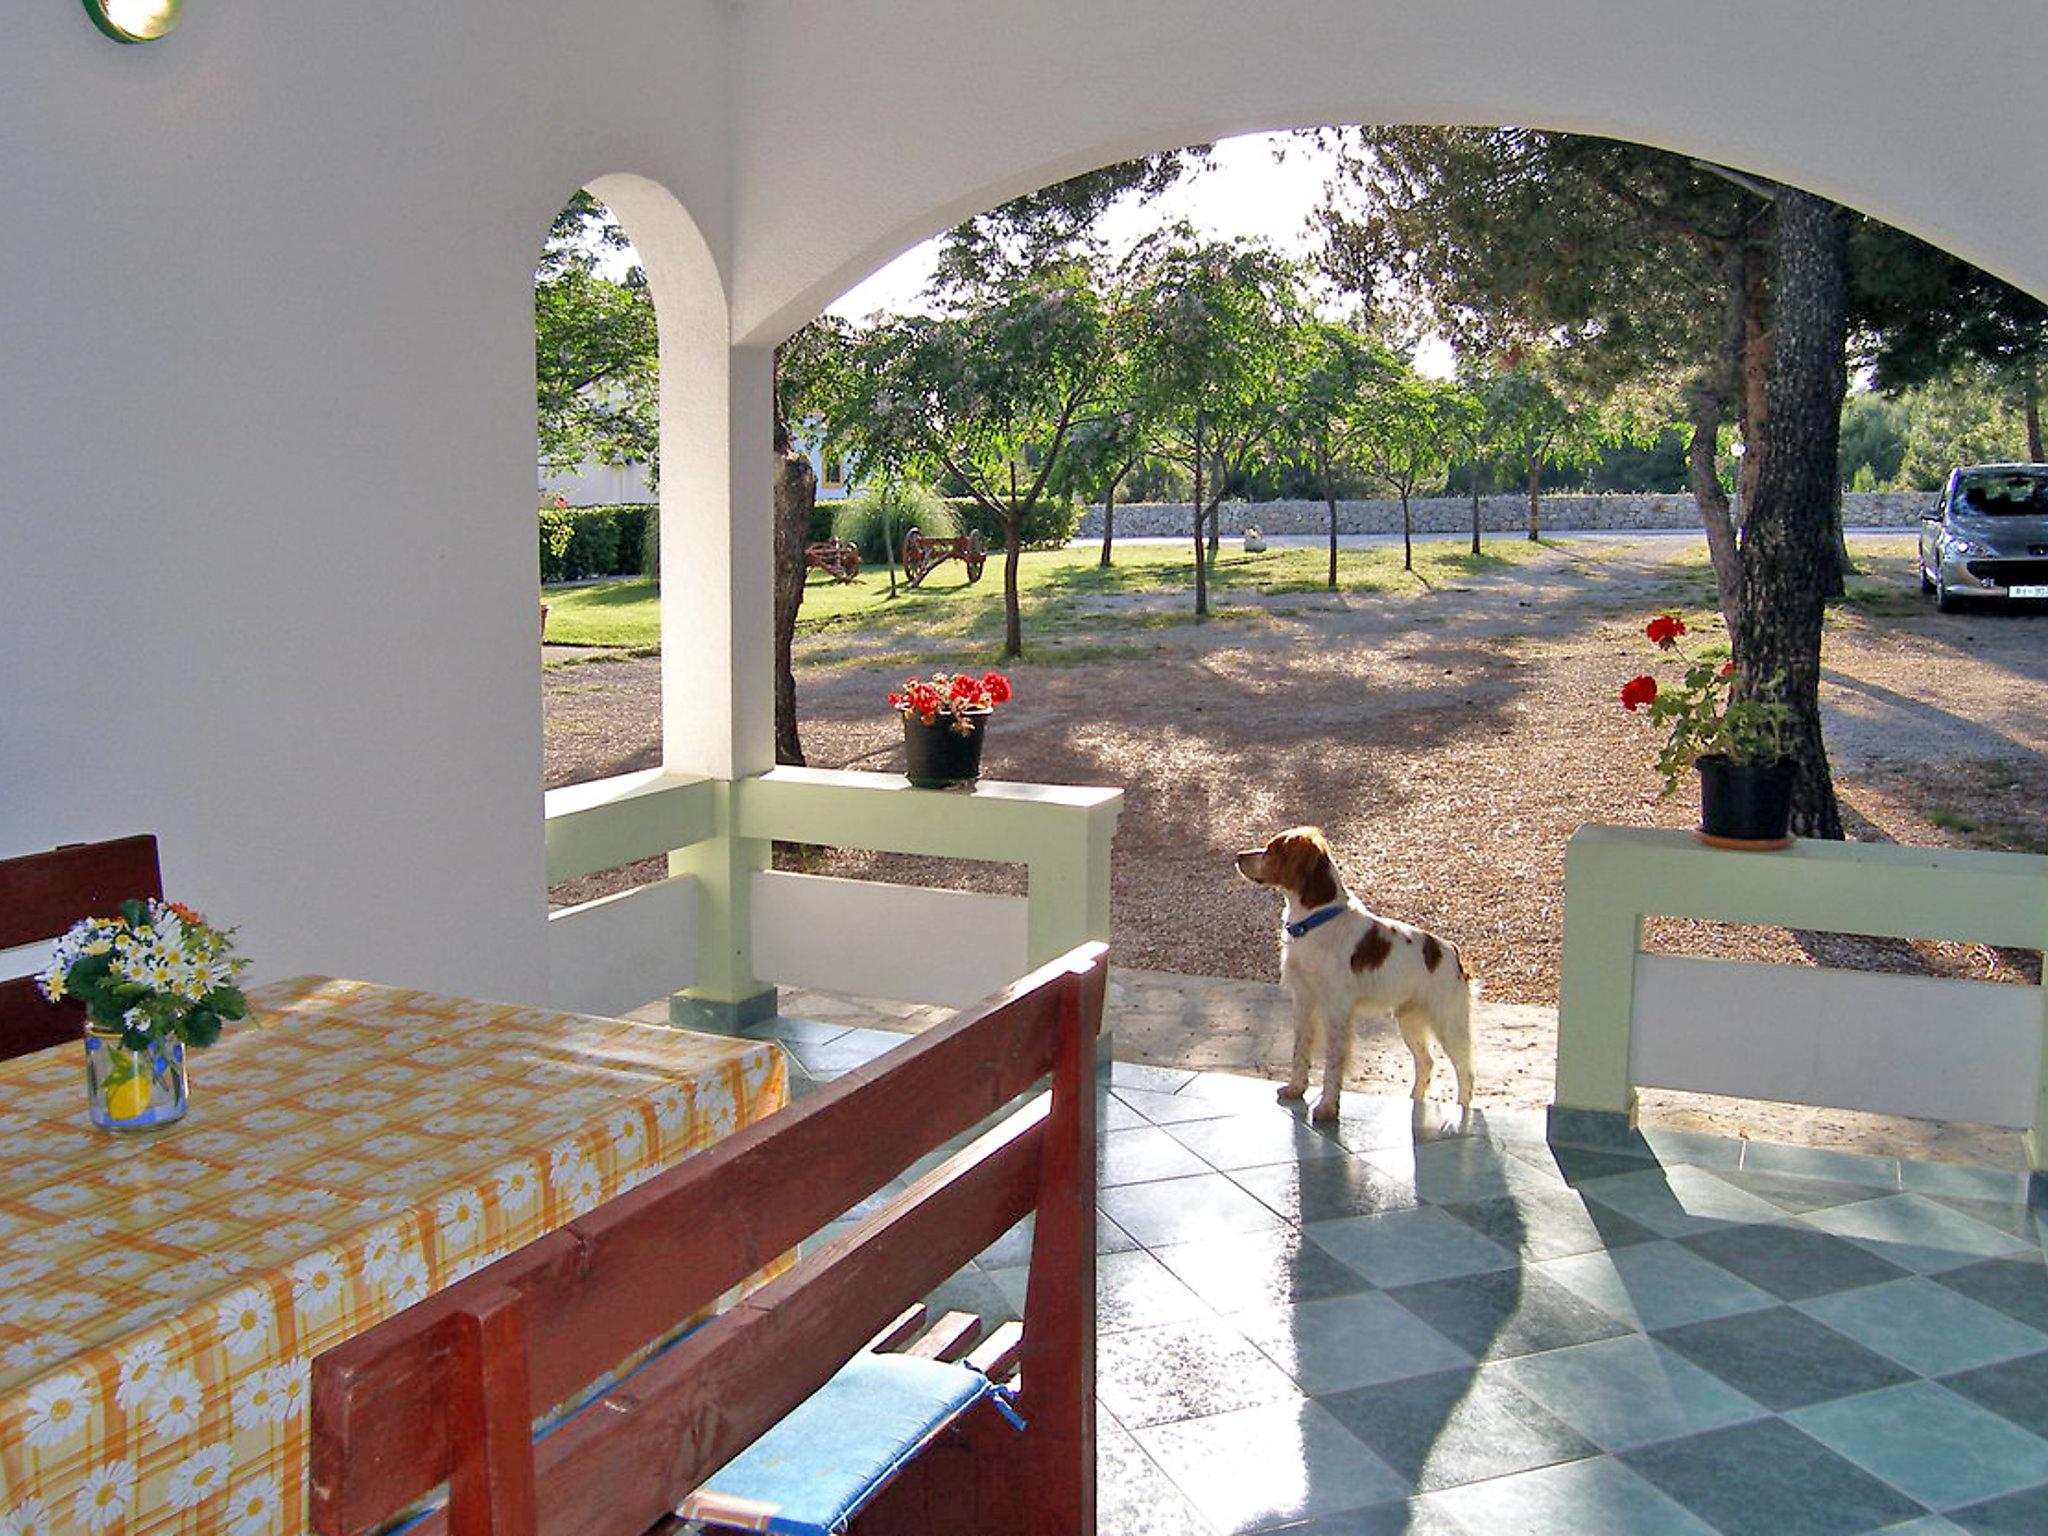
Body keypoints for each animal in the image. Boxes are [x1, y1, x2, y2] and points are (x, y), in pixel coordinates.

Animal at [1228, 823, 1474, 1122]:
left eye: (1273, 850)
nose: (1238, 856)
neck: (1315, 922)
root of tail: (1452, 953)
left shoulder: (1337, 1010)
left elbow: (1333, 1064)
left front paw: (1326, 1108)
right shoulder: (1304, 1001)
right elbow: (1300, 1050)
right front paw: (1295, 1089)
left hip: (1449, 1023)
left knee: (1465, 1071)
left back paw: (1462, 1112)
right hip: (1410, 1020)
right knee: (1426, 1062)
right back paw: (1415, 1101)